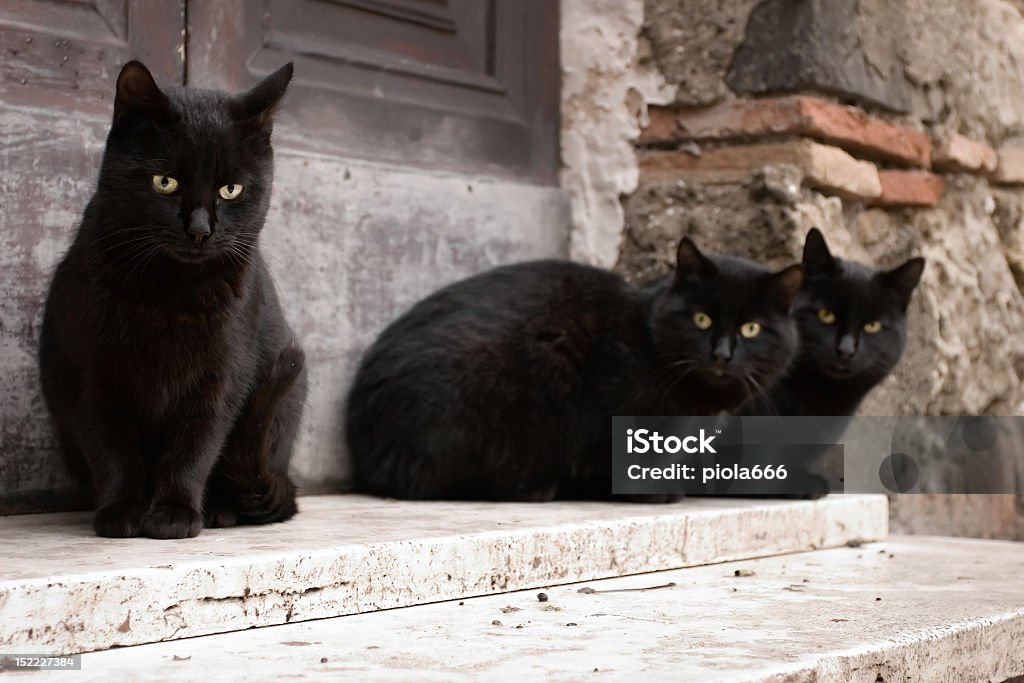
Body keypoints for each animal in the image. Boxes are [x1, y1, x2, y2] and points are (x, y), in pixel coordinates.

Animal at [37, 60, 307, 540]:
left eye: (231, 190)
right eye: (165, 182)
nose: (199, 229)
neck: (171, 292)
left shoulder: (222, 377)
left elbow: (195, 447)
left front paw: (174, 513)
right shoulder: (90, 373)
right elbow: (112, 449)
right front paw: (122, 511)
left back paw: (219, 510)